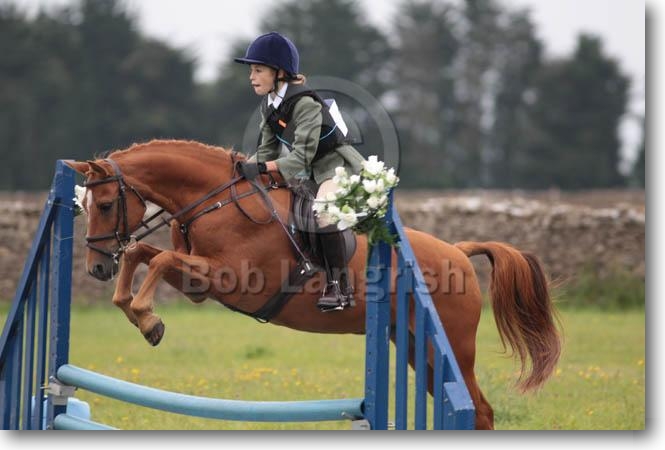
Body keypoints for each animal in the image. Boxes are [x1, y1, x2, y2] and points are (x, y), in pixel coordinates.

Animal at [65, 139, 561, 430]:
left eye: (105, 204)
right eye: (84, 204)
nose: (95, 268)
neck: (214, 201)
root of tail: (458, 250)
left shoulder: (230, 278)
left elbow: (157, 257)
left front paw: (149, 321)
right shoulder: (198, 282)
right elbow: (141, 254)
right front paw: (136, 310)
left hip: (453, 346)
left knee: (480, 410)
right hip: (415, 347)